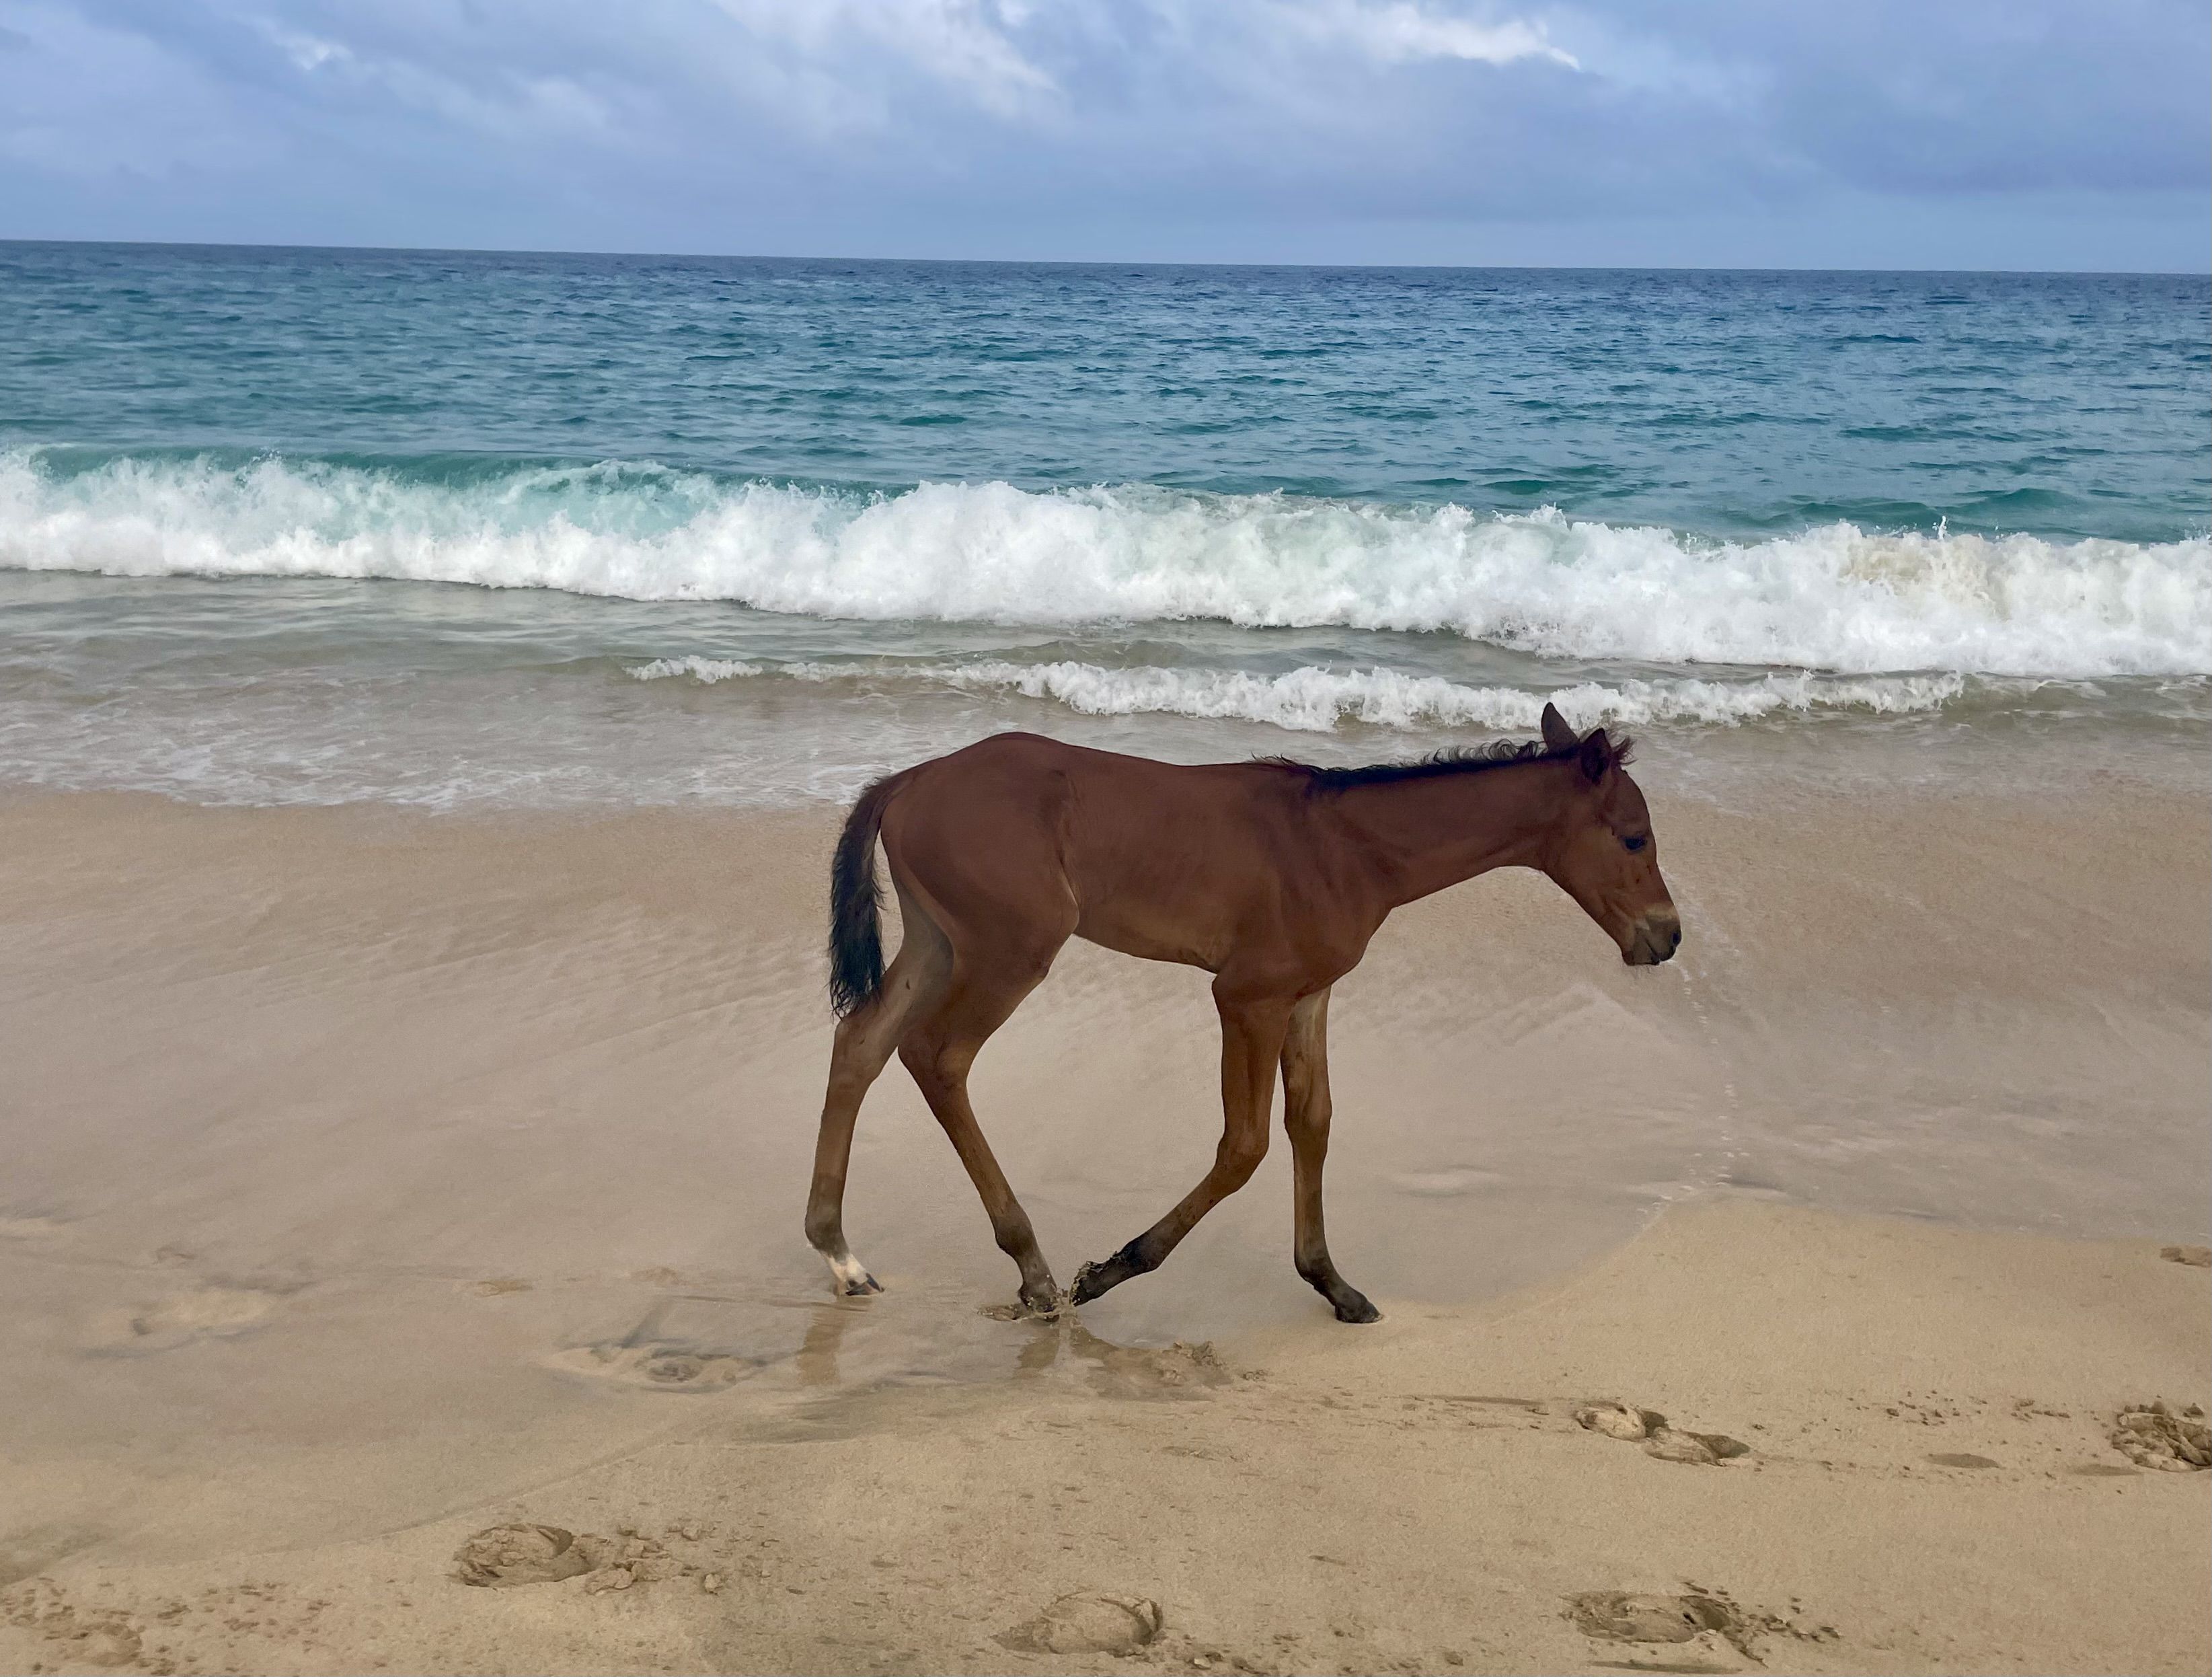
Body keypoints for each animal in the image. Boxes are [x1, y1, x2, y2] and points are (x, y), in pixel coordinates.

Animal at [809, 699, 1672, 1327]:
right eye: (1634, 839)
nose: (1666, 937)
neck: (1347, 848)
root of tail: (909, 780)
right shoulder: (1246, 996)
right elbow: (1245, 1146)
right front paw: (1114, 1269)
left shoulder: (1307, 995)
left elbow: (1313, 1123)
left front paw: (1331, 1283)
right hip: (1008, 949)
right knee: (937, 1057)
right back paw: (1035, 1270)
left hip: (936, 941)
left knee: (861, 1042)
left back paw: (840, 1253)